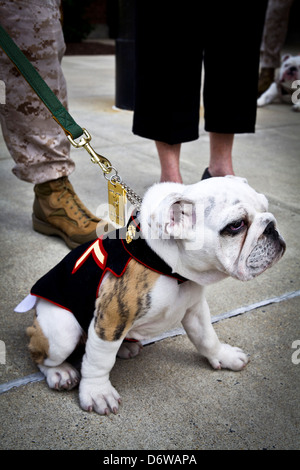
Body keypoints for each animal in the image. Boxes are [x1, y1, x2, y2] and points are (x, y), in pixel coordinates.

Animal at [18, 176, 286, 414]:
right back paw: (60, 372)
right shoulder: (112, 316)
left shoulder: (195, 309)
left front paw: (224, 356)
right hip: (62, 331)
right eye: (236, 226)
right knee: (40, 352)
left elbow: (207, 337)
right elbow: (98, 362)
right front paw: (97, 392)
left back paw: (125, 347)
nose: (272, 226)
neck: (170, 268)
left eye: (266, 208)